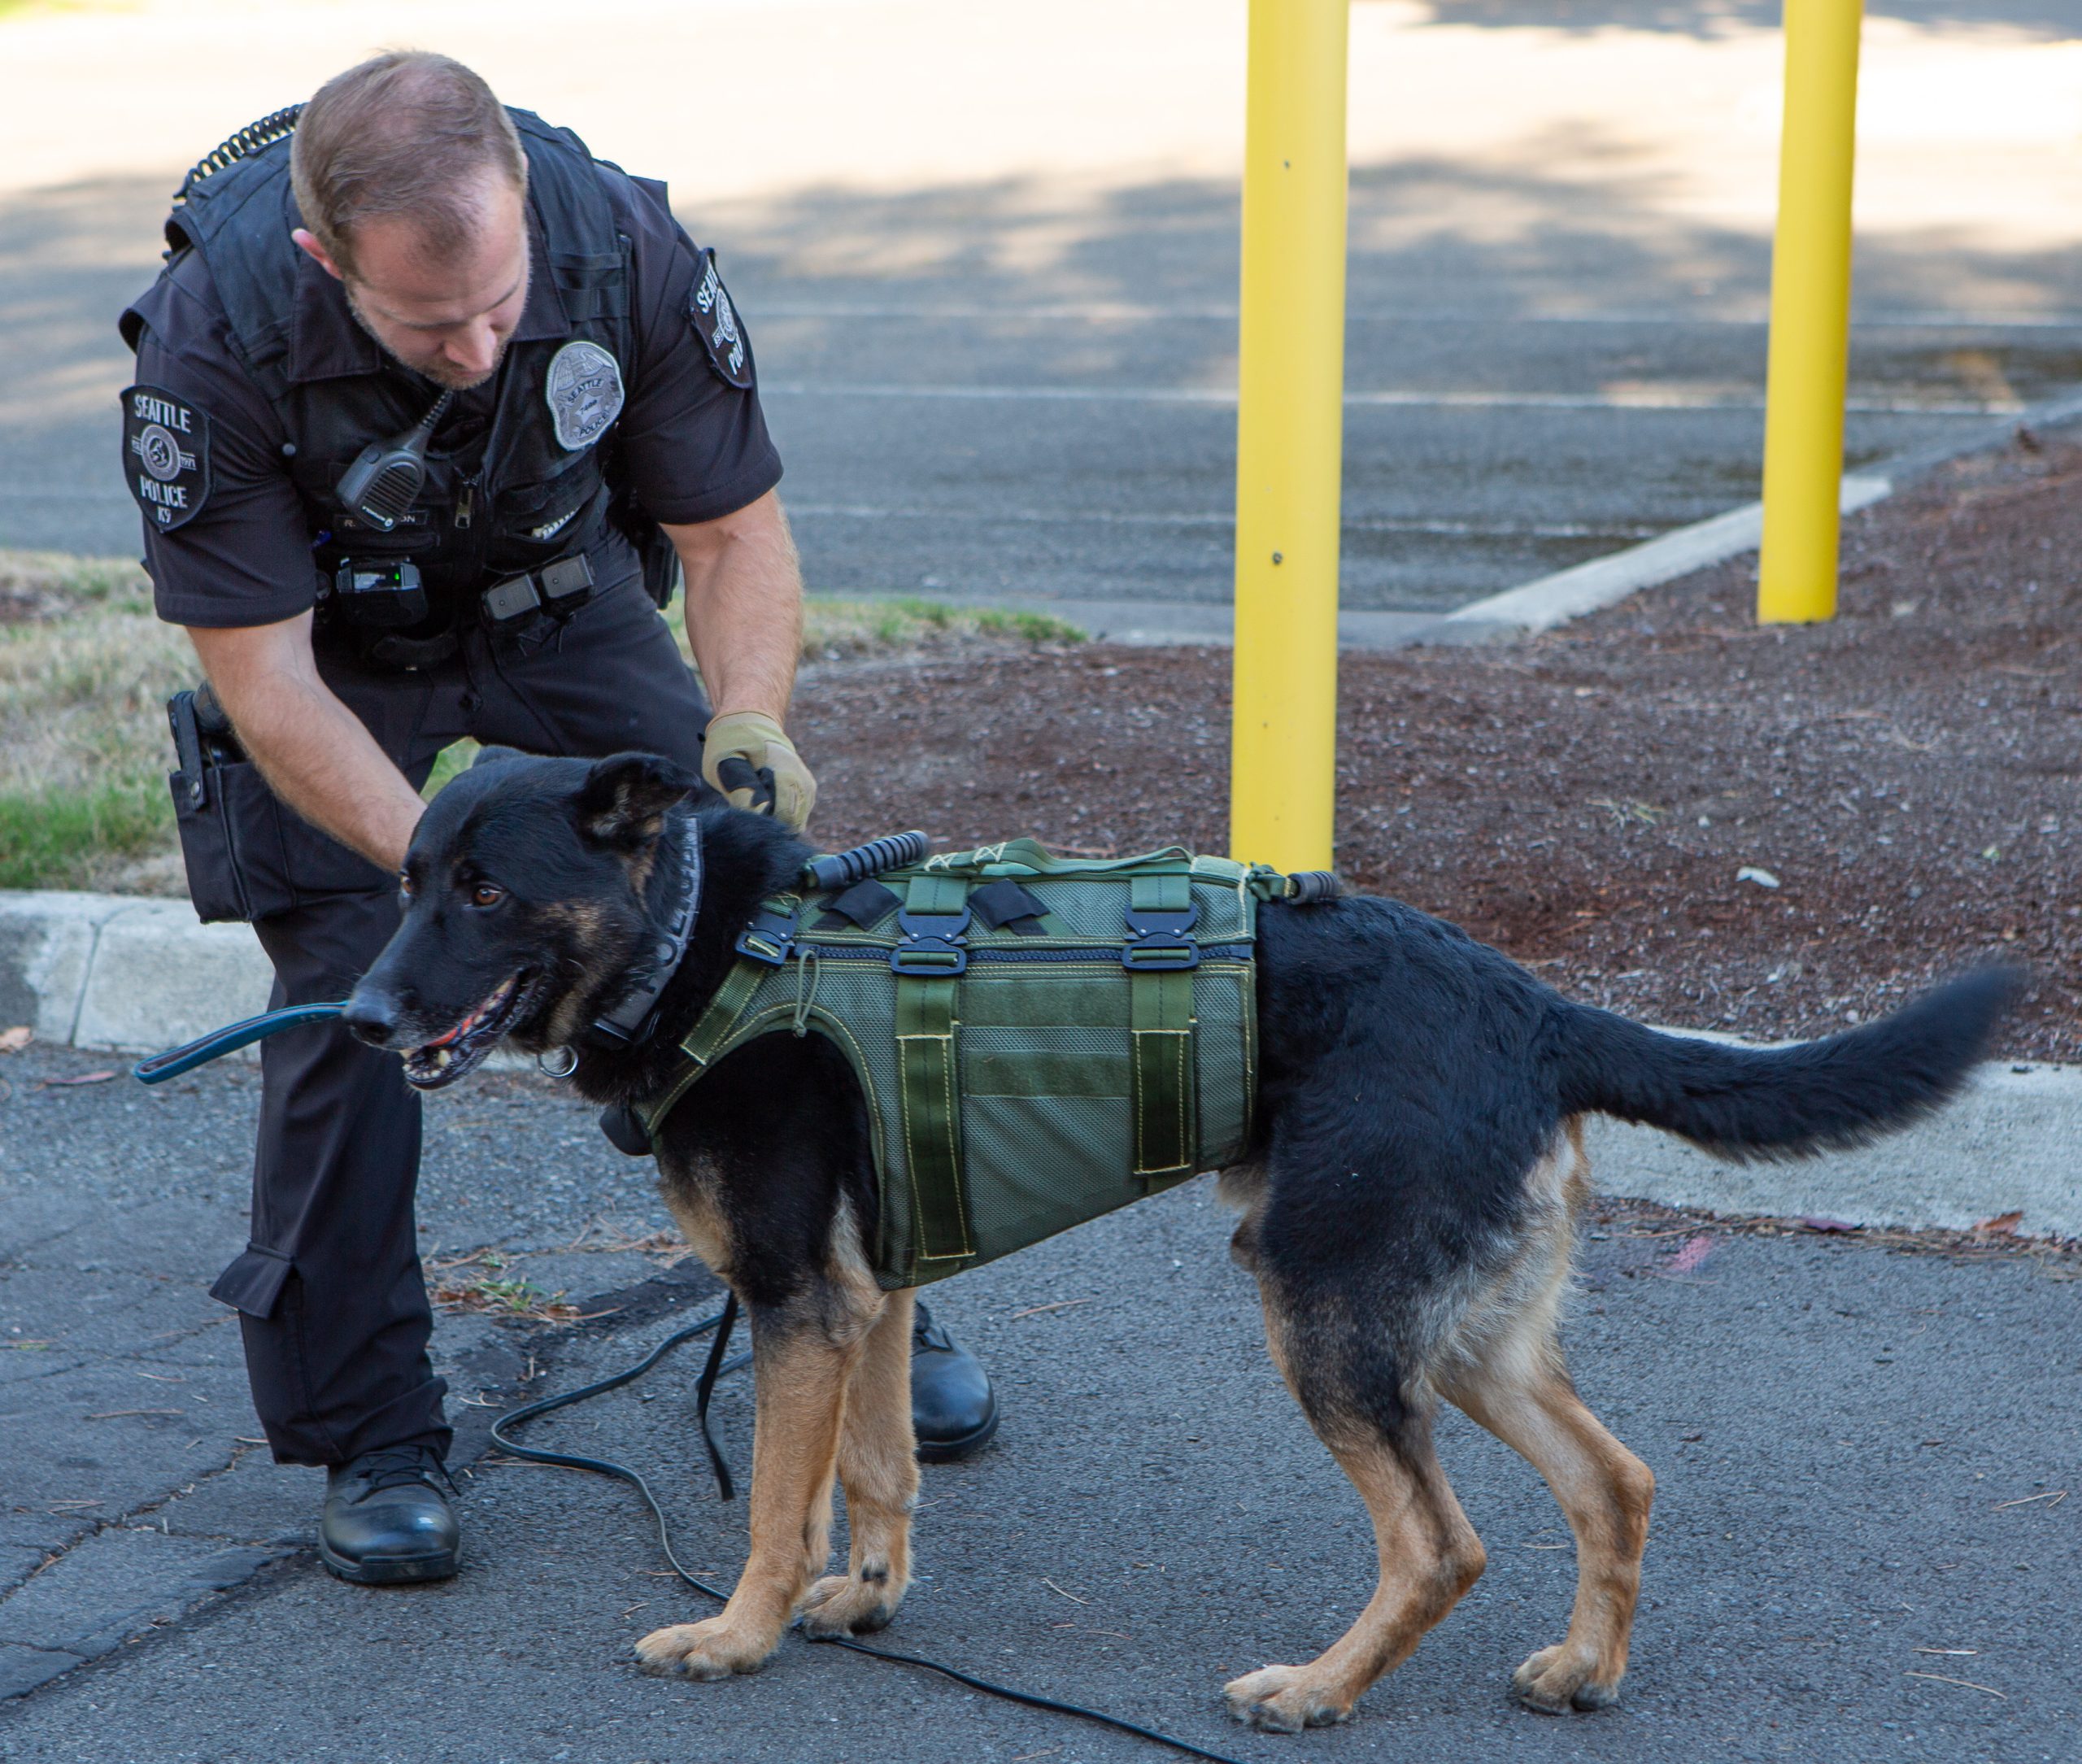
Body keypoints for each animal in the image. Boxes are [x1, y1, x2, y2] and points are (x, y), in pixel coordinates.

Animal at [345, 754, 2015, 1732]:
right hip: (1455, 1334)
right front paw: (869, 1601)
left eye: (484, 889)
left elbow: (772, 1504)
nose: (357, 1015)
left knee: (1441, 1541)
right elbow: (877, 1476)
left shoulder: (797, 1304)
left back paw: (1319, 1689)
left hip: (1323, 1314)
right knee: (1615, 1478)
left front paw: (735, 1637)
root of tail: (1536, 1007)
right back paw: (1584, 1668)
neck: (710, 933)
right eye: (409, 880)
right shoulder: (866, 1303)